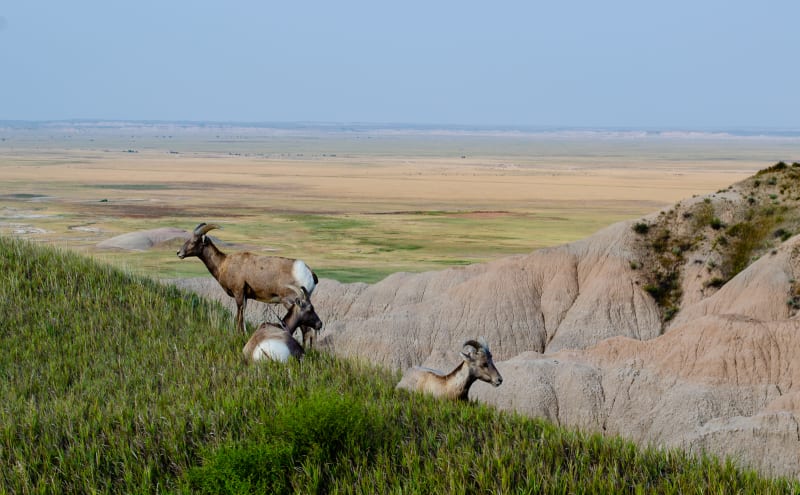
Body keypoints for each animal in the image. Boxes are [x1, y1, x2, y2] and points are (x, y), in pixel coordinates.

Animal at [177, 224, 318, 334]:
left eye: (194, 242)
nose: (179, 253)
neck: (223, 264)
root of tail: (309, 272)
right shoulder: (245, 298)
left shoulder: (239, 294)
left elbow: (239, 317)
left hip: (291, 302)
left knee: (306, 330)